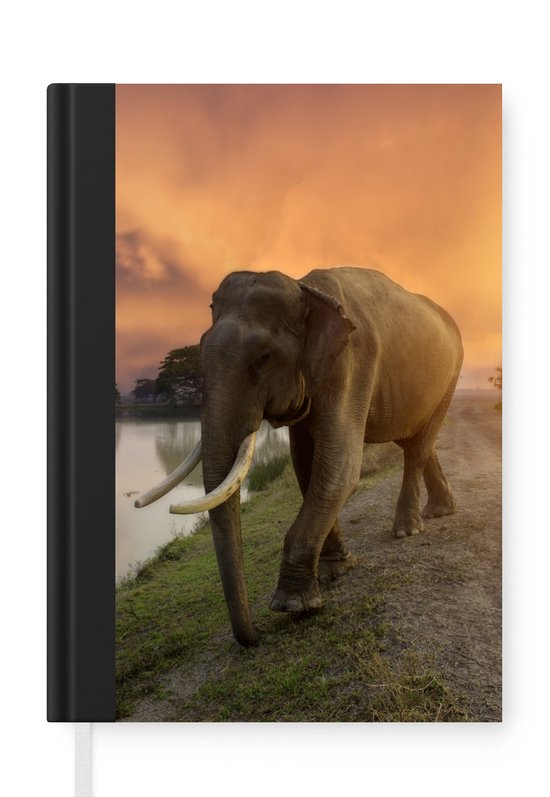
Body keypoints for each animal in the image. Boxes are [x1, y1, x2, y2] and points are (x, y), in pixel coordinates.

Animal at [135, 267, 463, 647]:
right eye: (200, 351)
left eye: (263, 358)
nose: (256, 636)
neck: (306, 289)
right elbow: (306, 466)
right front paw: (334, 570)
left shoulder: (352, 365)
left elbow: (339, 469)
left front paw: (294, 605)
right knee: (412, 438)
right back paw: (440, 511)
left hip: (451, 374)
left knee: (418, 444)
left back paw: (408, 530)